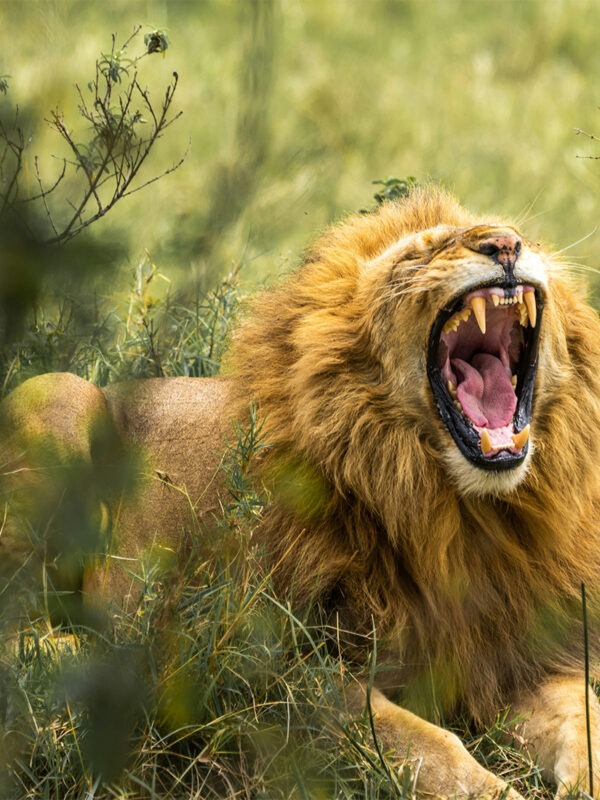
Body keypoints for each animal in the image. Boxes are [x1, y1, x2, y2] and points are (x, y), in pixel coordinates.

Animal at [1, 185, 600, 798]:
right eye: (420, 254)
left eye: (520, 237)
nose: (504, 245)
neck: (456, 513)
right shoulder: (283, 673)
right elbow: (427, 747)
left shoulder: (522, 654)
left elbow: (585, 719)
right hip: (58, 397)